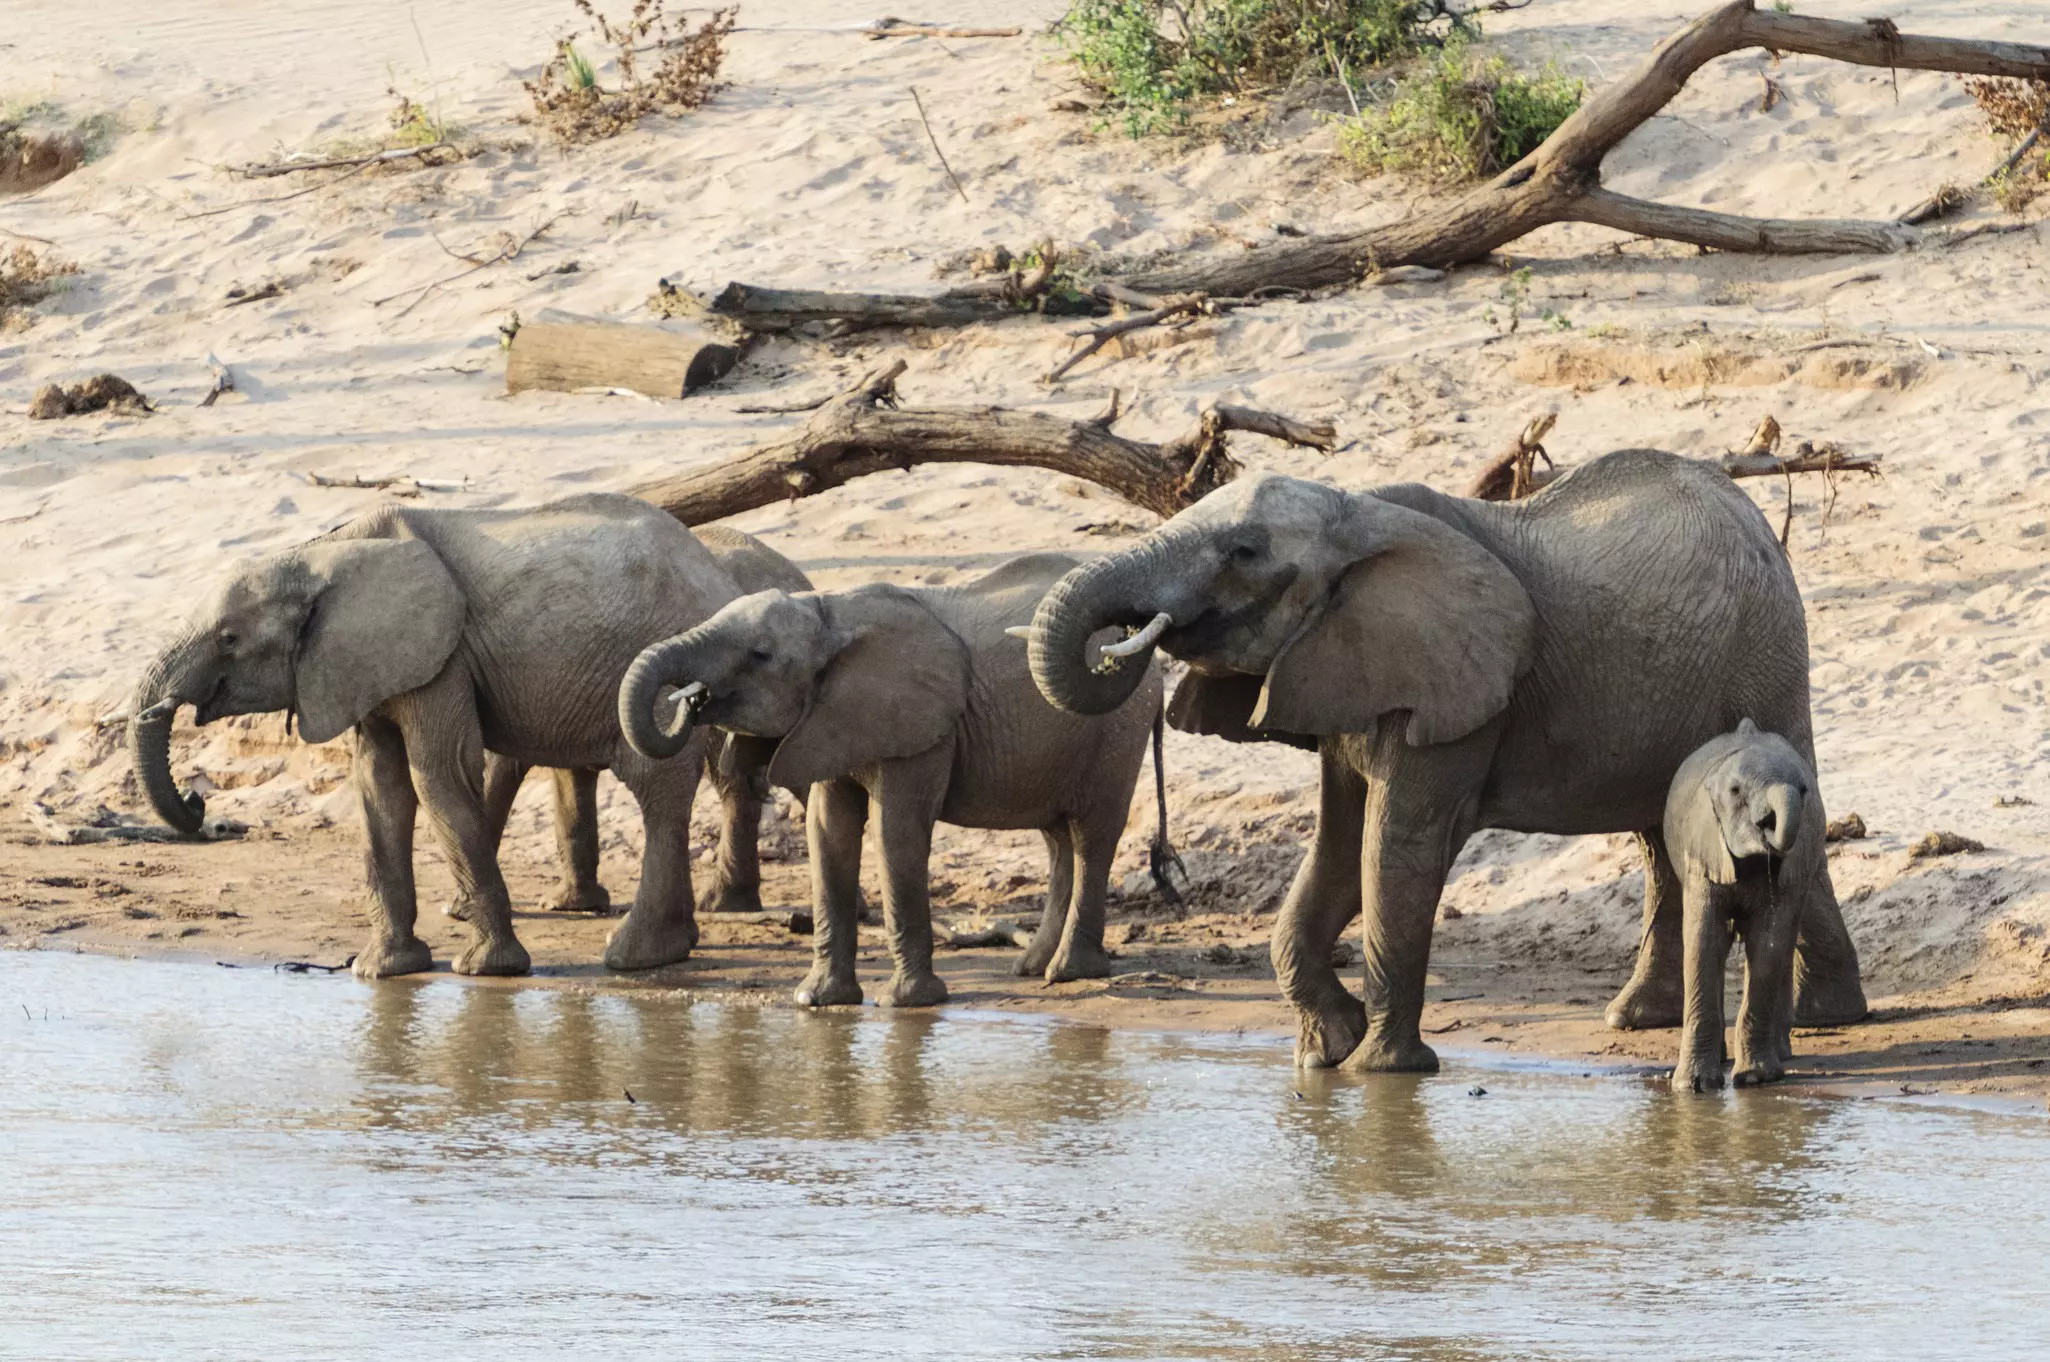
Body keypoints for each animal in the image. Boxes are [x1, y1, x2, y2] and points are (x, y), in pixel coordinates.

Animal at [129, 493, 803, 980]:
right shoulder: (366, 663)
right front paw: (384, 971)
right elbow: (380, 787)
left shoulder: (440, 655)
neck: (323, 553)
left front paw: (485, 970)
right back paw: (672, 947)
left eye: (229, 639)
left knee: (657, 788)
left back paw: (634, 957)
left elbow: (438, 774)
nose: (199, 802)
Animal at [617, 553, 1171, 1006]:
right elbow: (828, 833)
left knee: (1091, 835)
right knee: (1059, 840)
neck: (830, 616)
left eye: (760, 655)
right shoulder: (834, 720)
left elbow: (895, 833)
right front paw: (817, 1001)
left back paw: (1068, 972)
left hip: (1117, 727)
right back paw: (1031, 968)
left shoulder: (920, 730)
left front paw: (907, 1003)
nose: (690, 699)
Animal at [1664, 720, 1820, 1092]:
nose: (1768, 825)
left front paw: (1755, 1078)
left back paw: (1780, 1054)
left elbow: (1768, 944)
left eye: (1804, 790)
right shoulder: (1703, 850)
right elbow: (1704, 941)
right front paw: (1693, 1087)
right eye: (1735, 792)